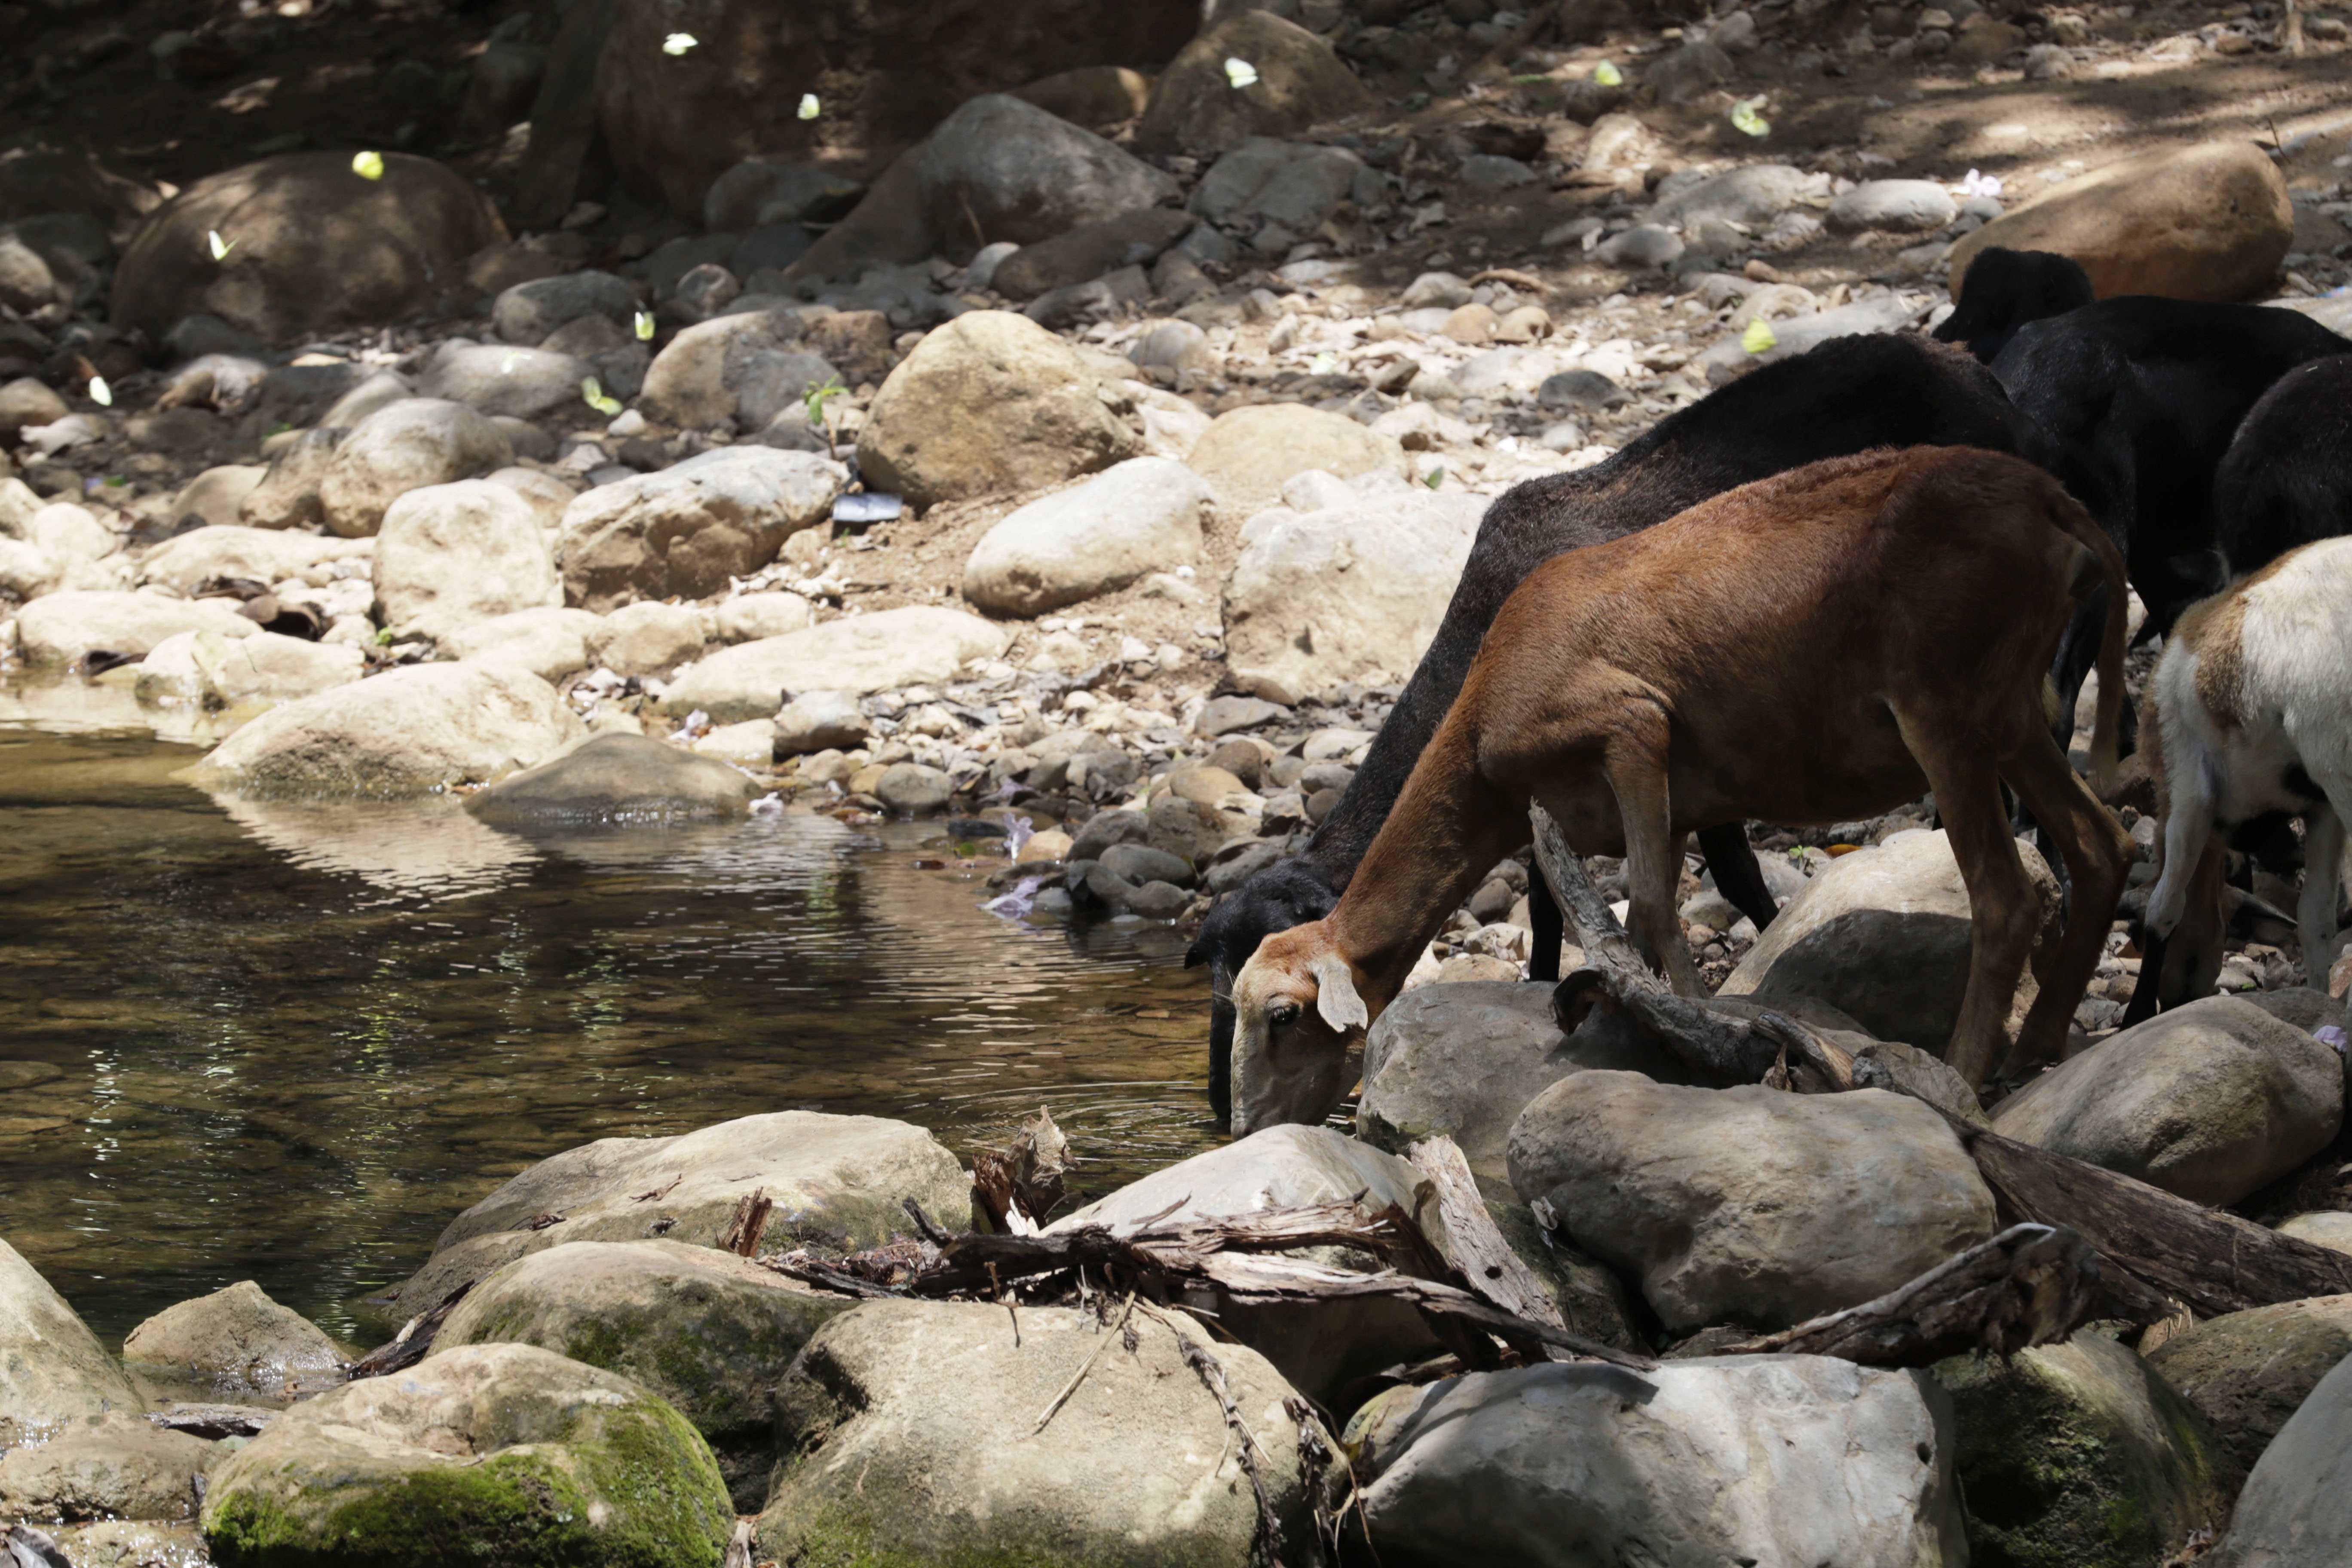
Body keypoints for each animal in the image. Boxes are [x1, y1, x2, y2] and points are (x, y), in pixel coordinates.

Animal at [1185, 329, 2032, 1114]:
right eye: (1214, 980)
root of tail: (1972, 366)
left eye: (1279, 1013)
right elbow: (1550, 907)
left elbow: (1724, 875)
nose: (1218, 1106)